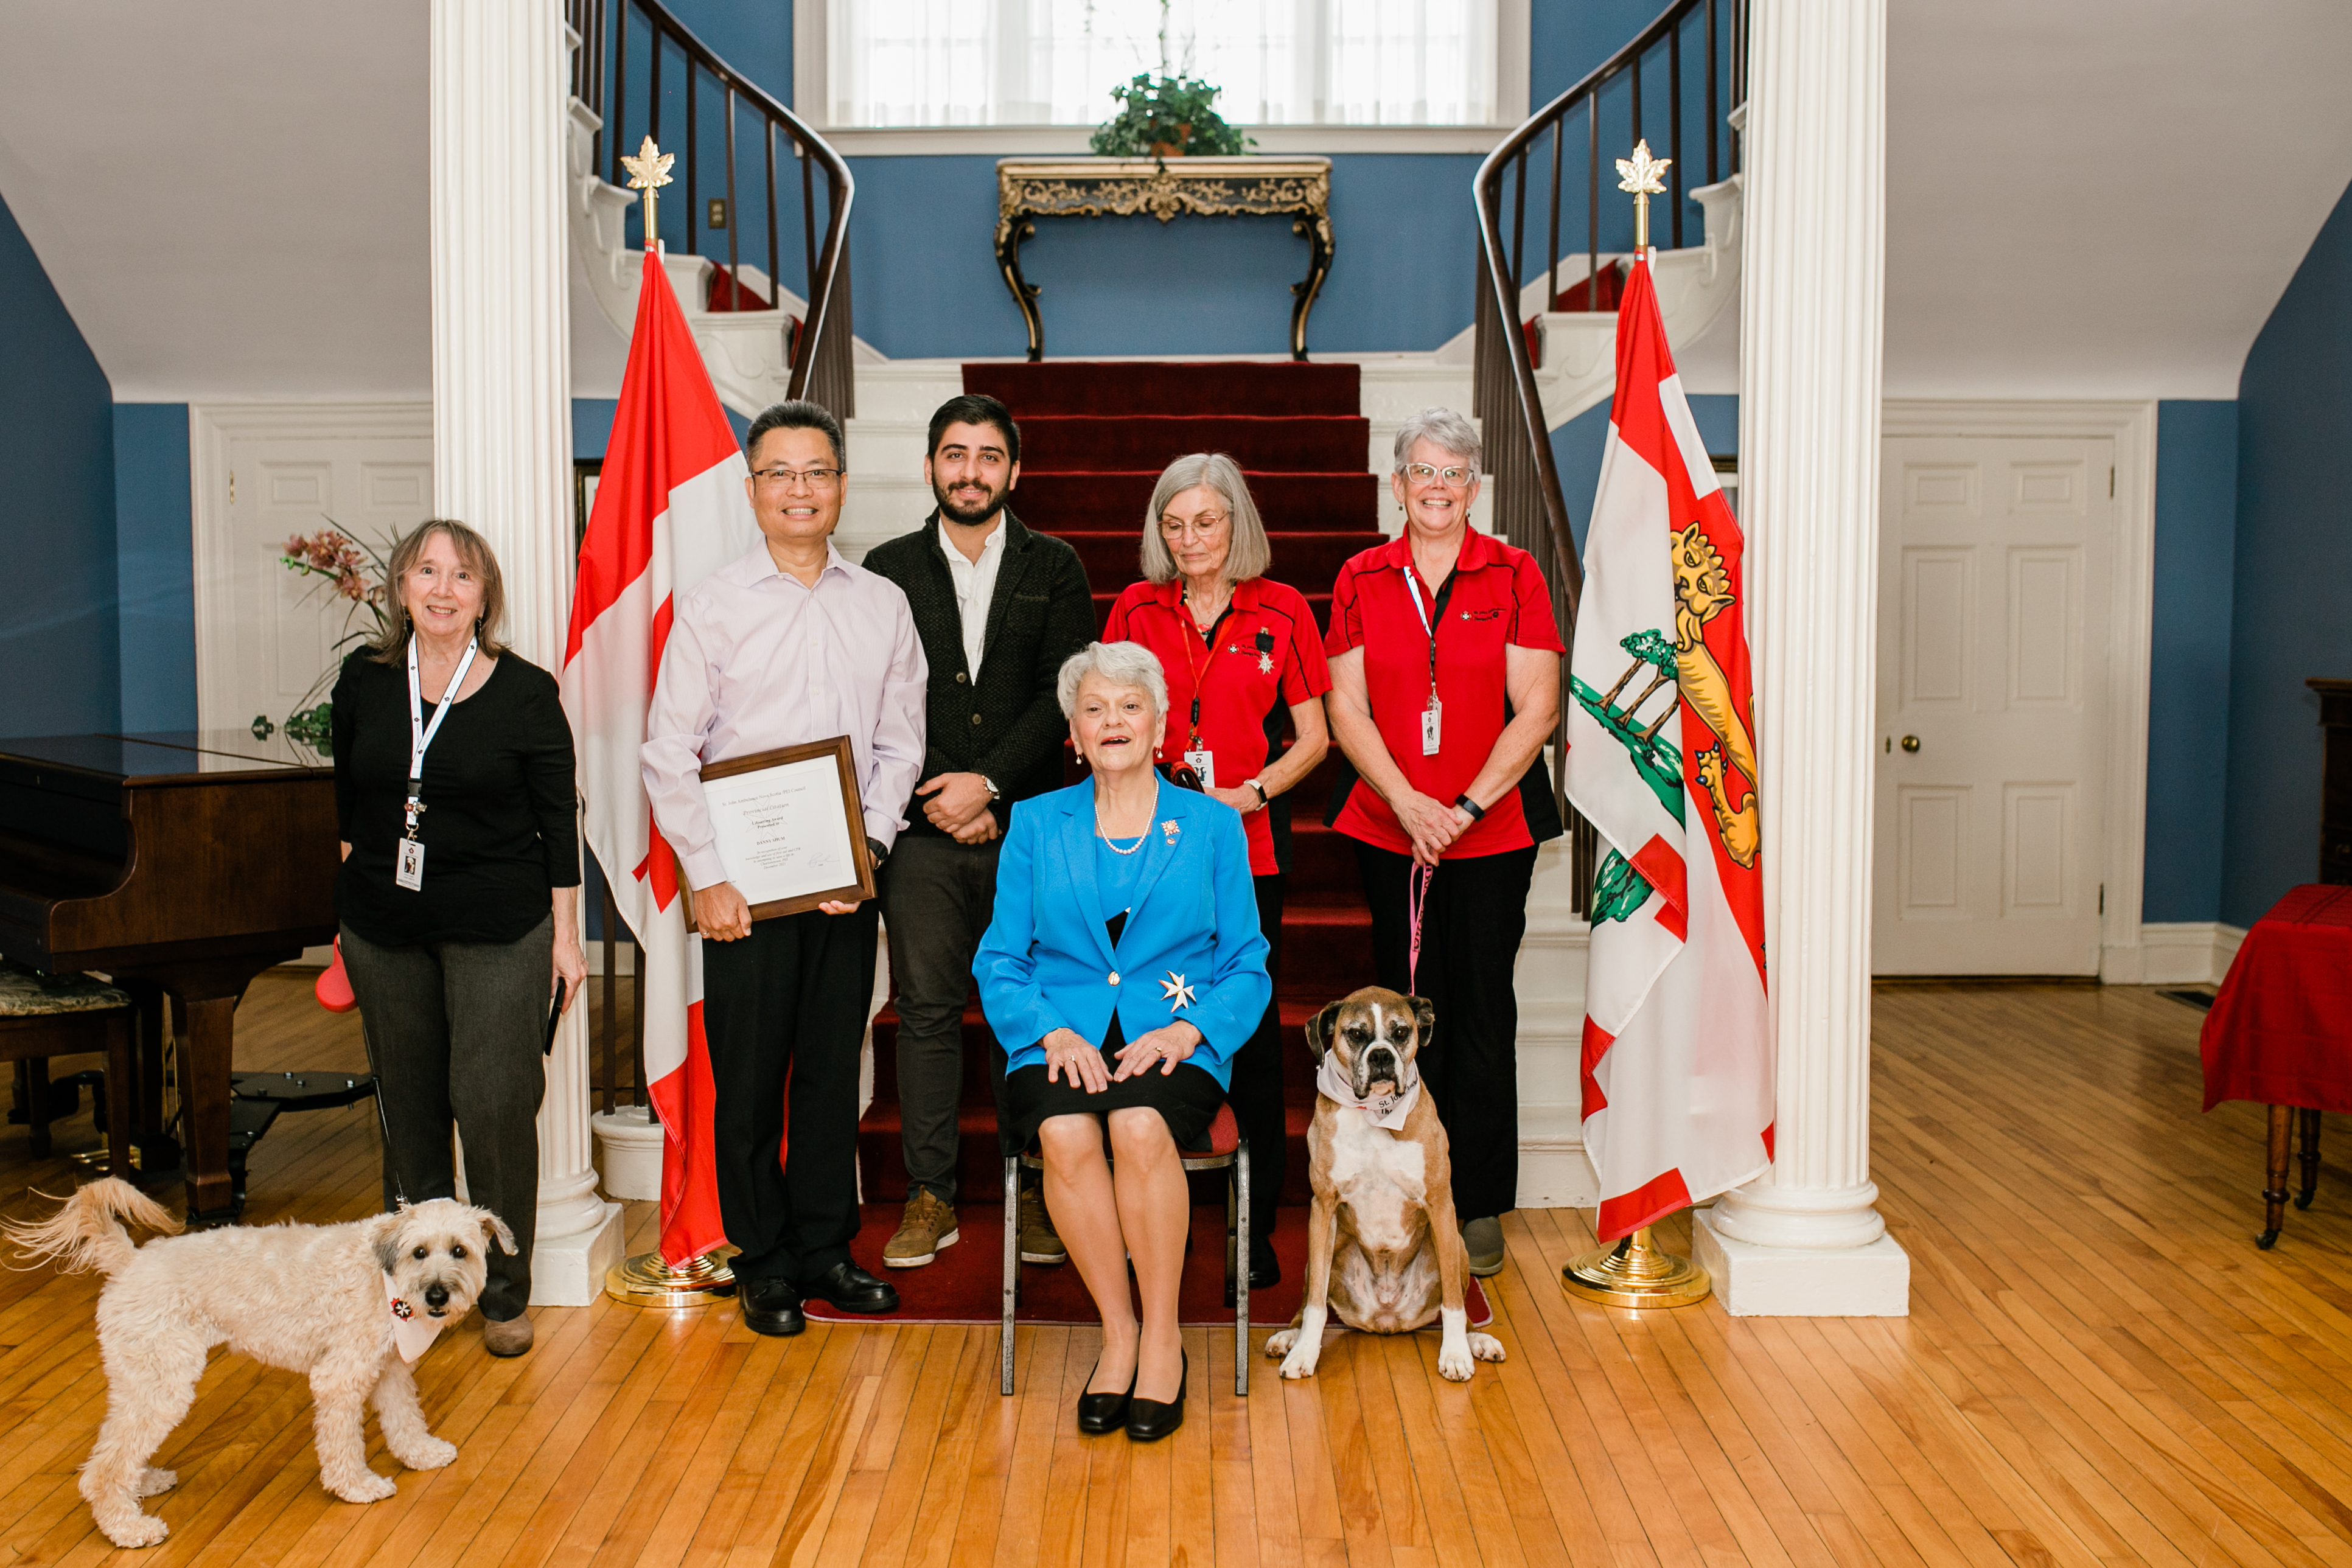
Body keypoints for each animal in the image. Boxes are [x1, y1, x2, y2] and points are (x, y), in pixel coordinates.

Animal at [4, 1175, 512, 1542]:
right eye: (419, 1251)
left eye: (460, 1250)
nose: (437, 1294)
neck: (385, 1277)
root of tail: (129, 1260)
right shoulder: (340, 1377)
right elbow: (343, 1442)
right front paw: (357, 1486)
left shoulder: (388, 1368)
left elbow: (405, 1419)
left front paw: (421, 1455)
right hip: (163, 1382)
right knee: (104, 1468)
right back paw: (129, 1527)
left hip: (142, 1380)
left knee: (114, 1446)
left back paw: (141, 1485)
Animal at [1270, 987, 1505, 1382]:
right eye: (1355, 1034)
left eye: (1400, 1032)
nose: (1381, 1055)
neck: (1375, 1115)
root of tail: (1387, 1317)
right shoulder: (1323, 1206)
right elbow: (1316, 1303)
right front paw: (1304, 1353)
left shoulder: (1440, 1204)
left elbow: (1454, 1305)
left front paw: (1456, 1354)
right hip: (1322, 1249)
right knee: (1309, 1300)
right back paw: (1290, 1335)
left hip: (1455, 1246)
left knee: (1458, 1302)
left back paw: (1476, 1339)